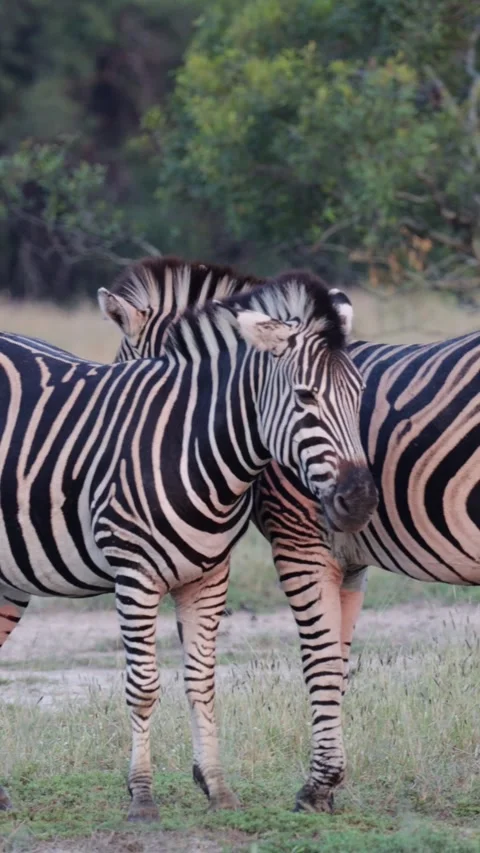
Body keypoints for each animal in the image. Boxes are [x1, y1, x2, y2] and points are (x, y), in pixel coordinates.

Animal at [0, 272, 377, 821]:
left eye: (359, 394)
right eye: (306, 397)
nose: (361, 500)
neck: (197, 447)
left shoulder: (209, 575)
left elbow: (202, 680)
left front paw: (217, 789)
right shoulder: (134, 574)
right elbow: (143, 686)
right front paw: (141, 796)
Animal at [98, 255, 480, 813]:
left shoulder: (299, 540)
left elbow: (318, 662)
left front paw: (316, 787)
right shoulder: (349, 557)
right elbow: (337, 662)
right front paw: (329, 782)